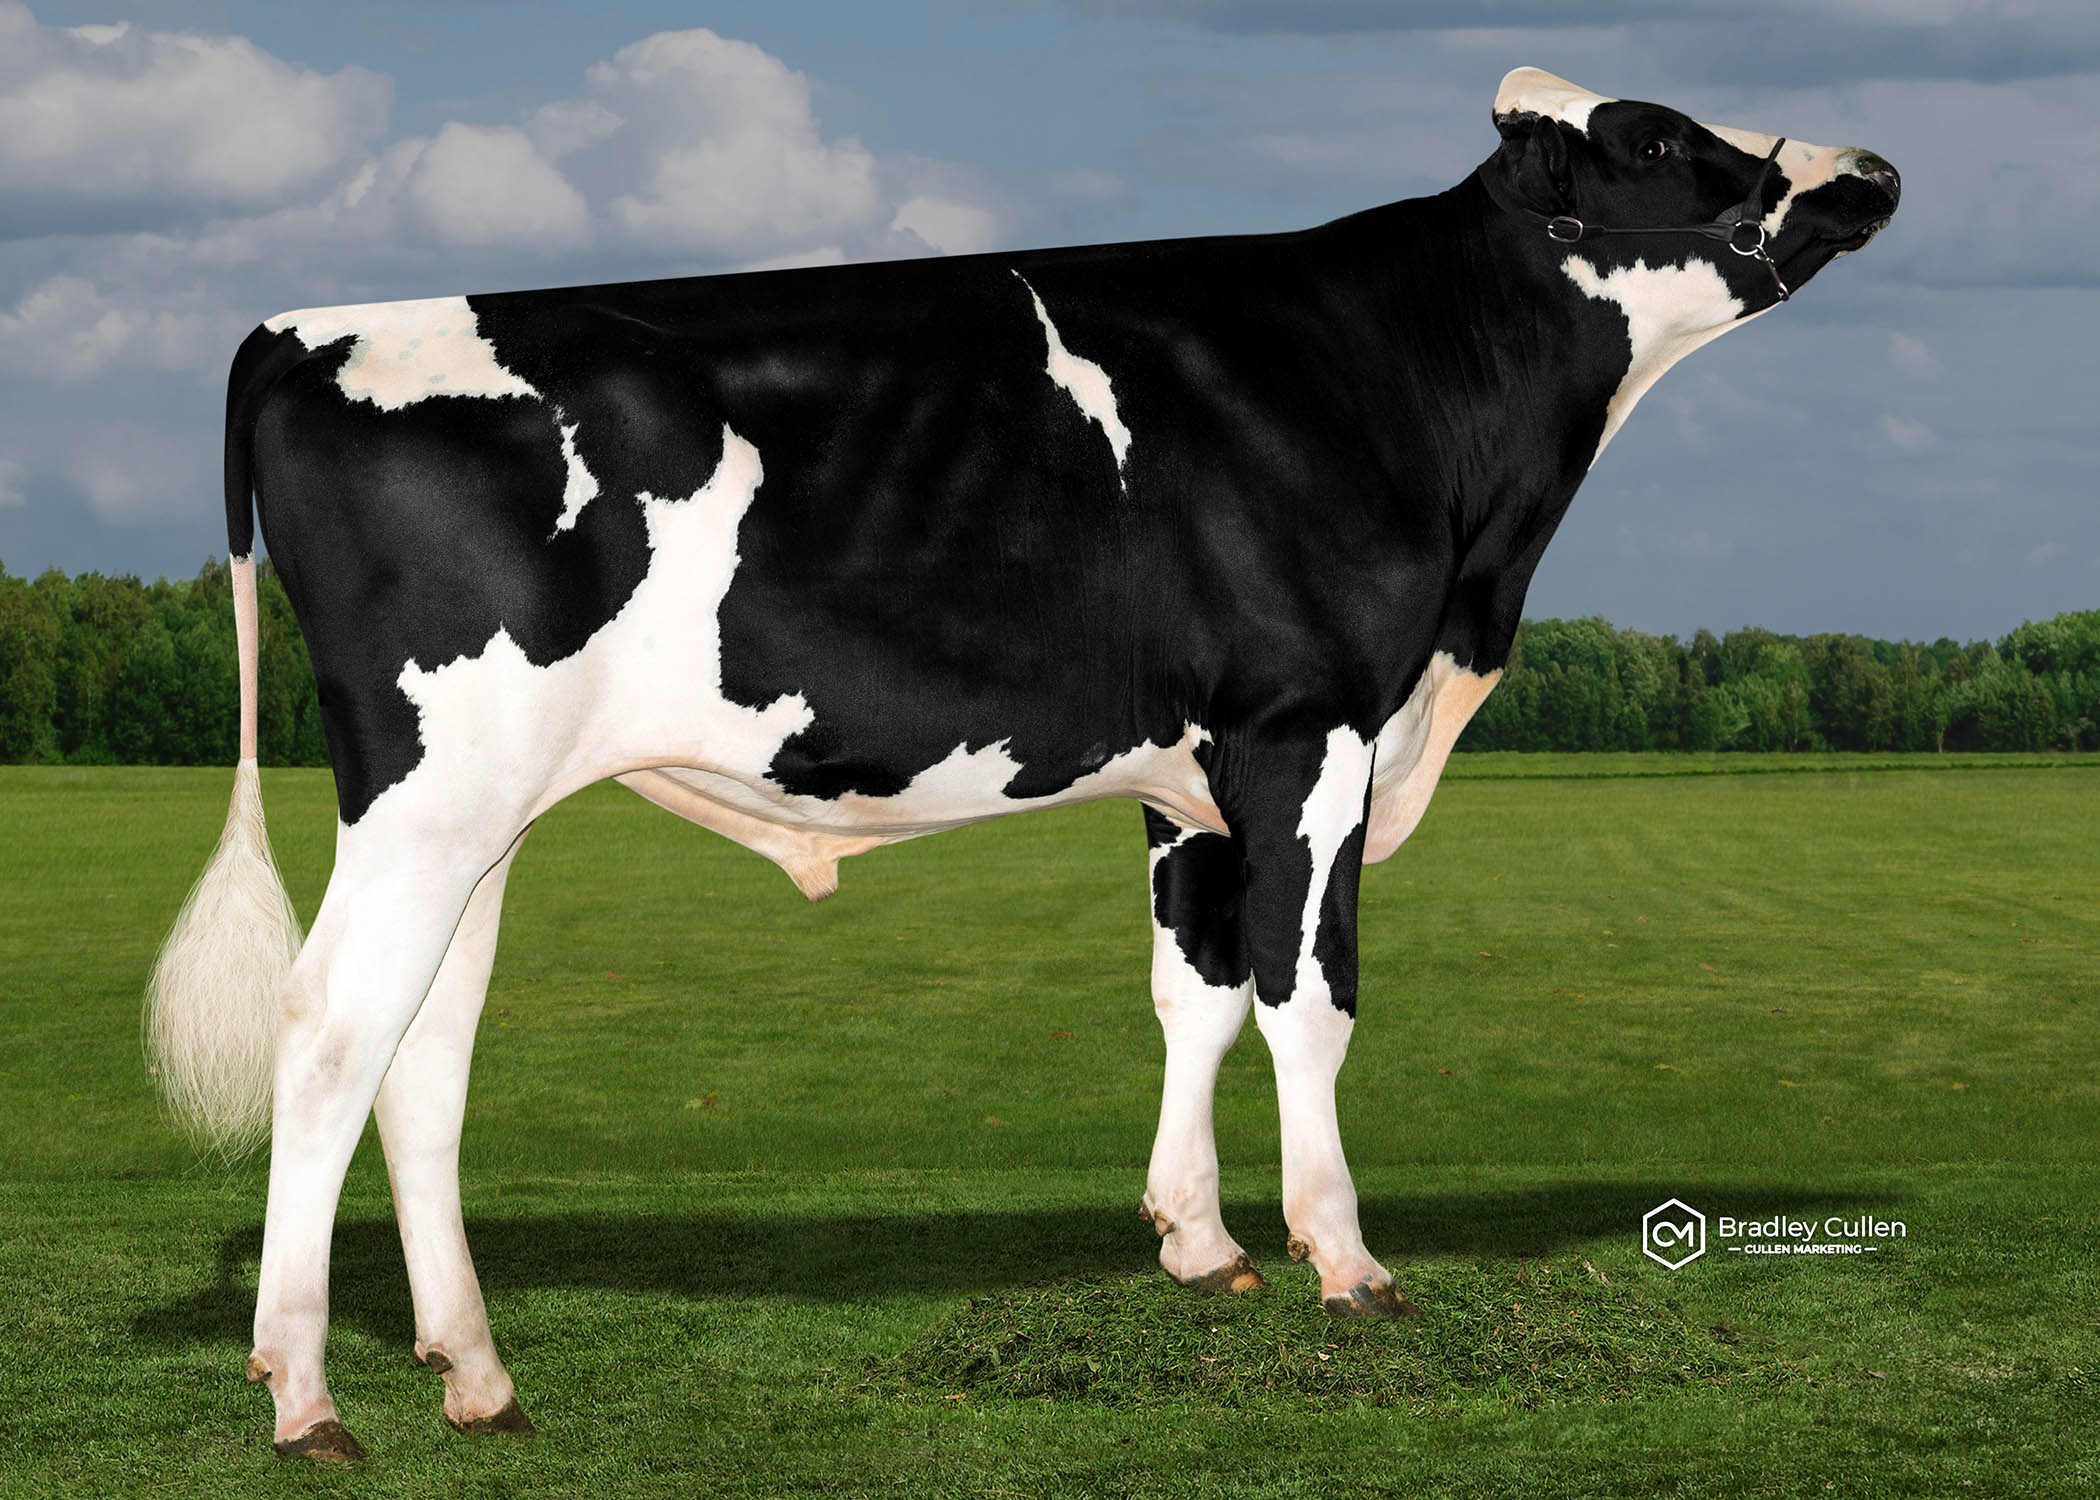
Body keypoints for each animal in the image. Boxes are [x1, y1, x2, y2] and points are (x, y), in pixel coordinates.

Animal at [146, 68, 1899, 1460]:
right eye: (1659, 137)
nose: (1872, 172)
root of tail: (305, 326)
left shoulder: (1193, 784)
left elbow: (1196, 994)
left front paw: (1200, 1247)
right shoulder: (1305, 730)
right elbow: (1307, 997)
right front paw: (1346, 1265)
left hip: (477, 814)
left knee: (425, 1051)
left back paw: (478, 1374)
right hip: (429, 791)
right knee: (328, 1031)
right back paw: (308, 1396)